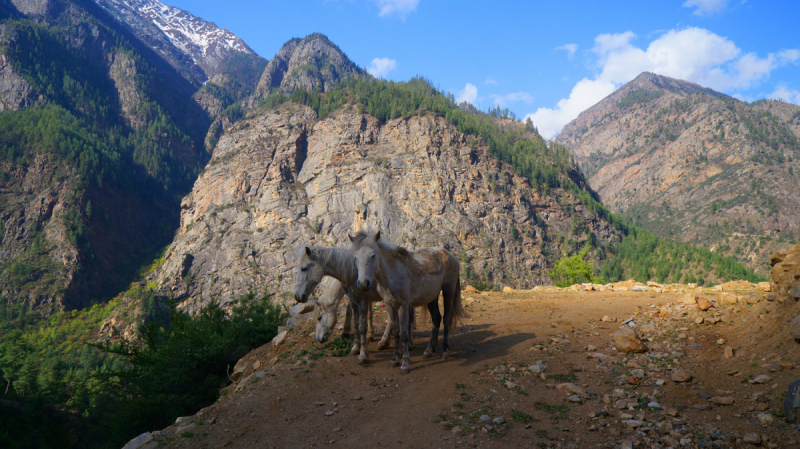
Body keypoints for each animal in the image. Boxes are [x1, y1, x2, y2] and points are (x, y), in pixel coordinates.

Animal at [350, 229, 468, 372]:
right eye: (355, 257)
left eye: (373, 255)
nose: (363, 284)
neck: (392, 274)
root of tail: (451, 257)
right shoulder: (390, 306)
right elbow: (396, 332)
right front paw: (395, 359)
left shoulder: (403, 306)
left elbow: (404, 334)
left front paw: (405, 364)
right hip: (432, 297)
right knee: (436, 319)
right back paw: (429, 351)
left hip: (448, 291)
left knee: (445, 319)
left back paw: (445, 351)